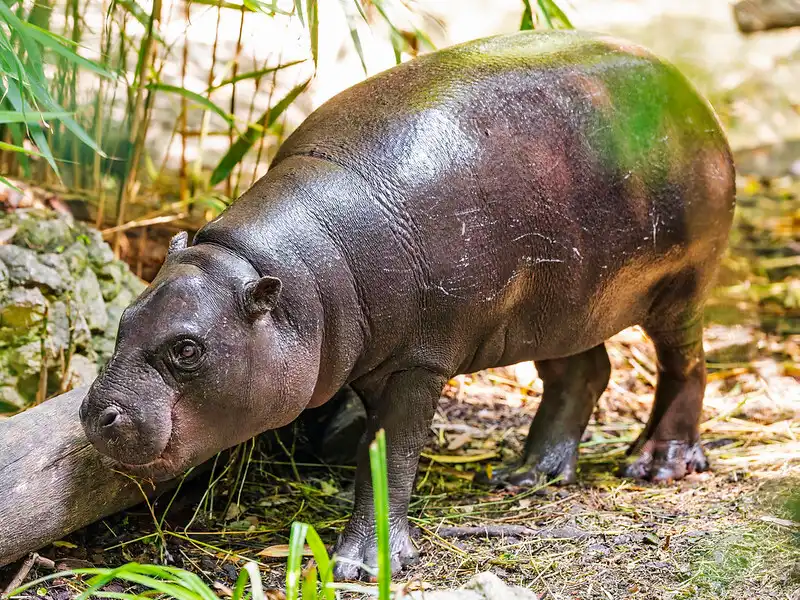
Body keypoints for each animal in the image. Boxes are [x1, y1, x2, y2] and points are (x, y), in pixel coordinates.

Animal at [83, 29, 736, 580]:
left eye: (187, 349)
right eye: (125, 316)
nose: (95, 414)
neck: (300, 274)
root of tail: (688, 88)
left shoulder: (417, 362)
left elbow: (391, 456)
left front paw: (359, 565)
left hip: (678, 289)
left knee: (686, 366)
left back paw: (657, 463)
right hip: (557, 307)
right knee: (583, 371)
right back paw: (525, 476)